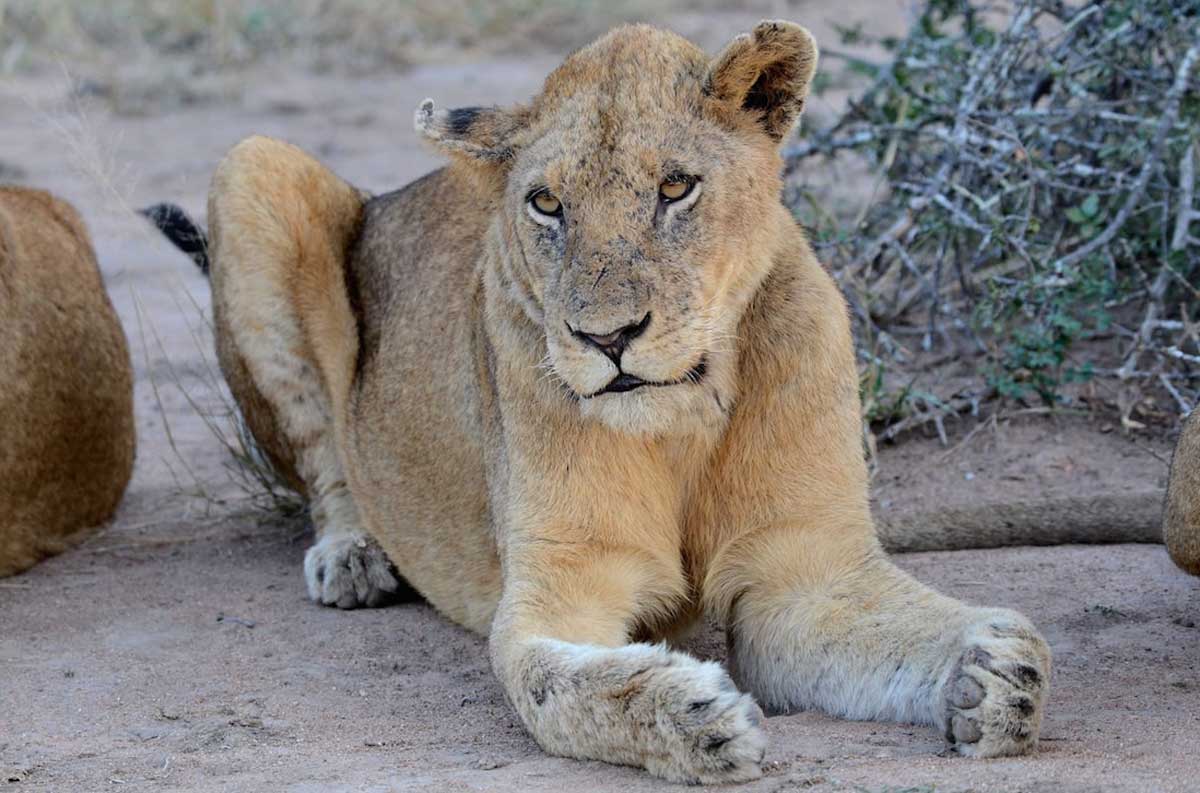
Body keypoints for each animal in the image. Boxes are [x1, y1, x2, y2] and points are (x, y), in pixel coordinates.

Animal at [143, 21, 1055, 784]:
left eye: (676, 186)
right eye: (547, 203)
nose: (607, 337)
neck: (683, 419)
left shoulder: (803, 576)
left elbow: (929, 629)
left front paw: (995, 676)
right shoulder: (561, 582)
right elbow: (556, 684)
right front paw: (692, 716)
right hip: (255, 167)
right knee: (320, 452)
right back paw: (352, 556)